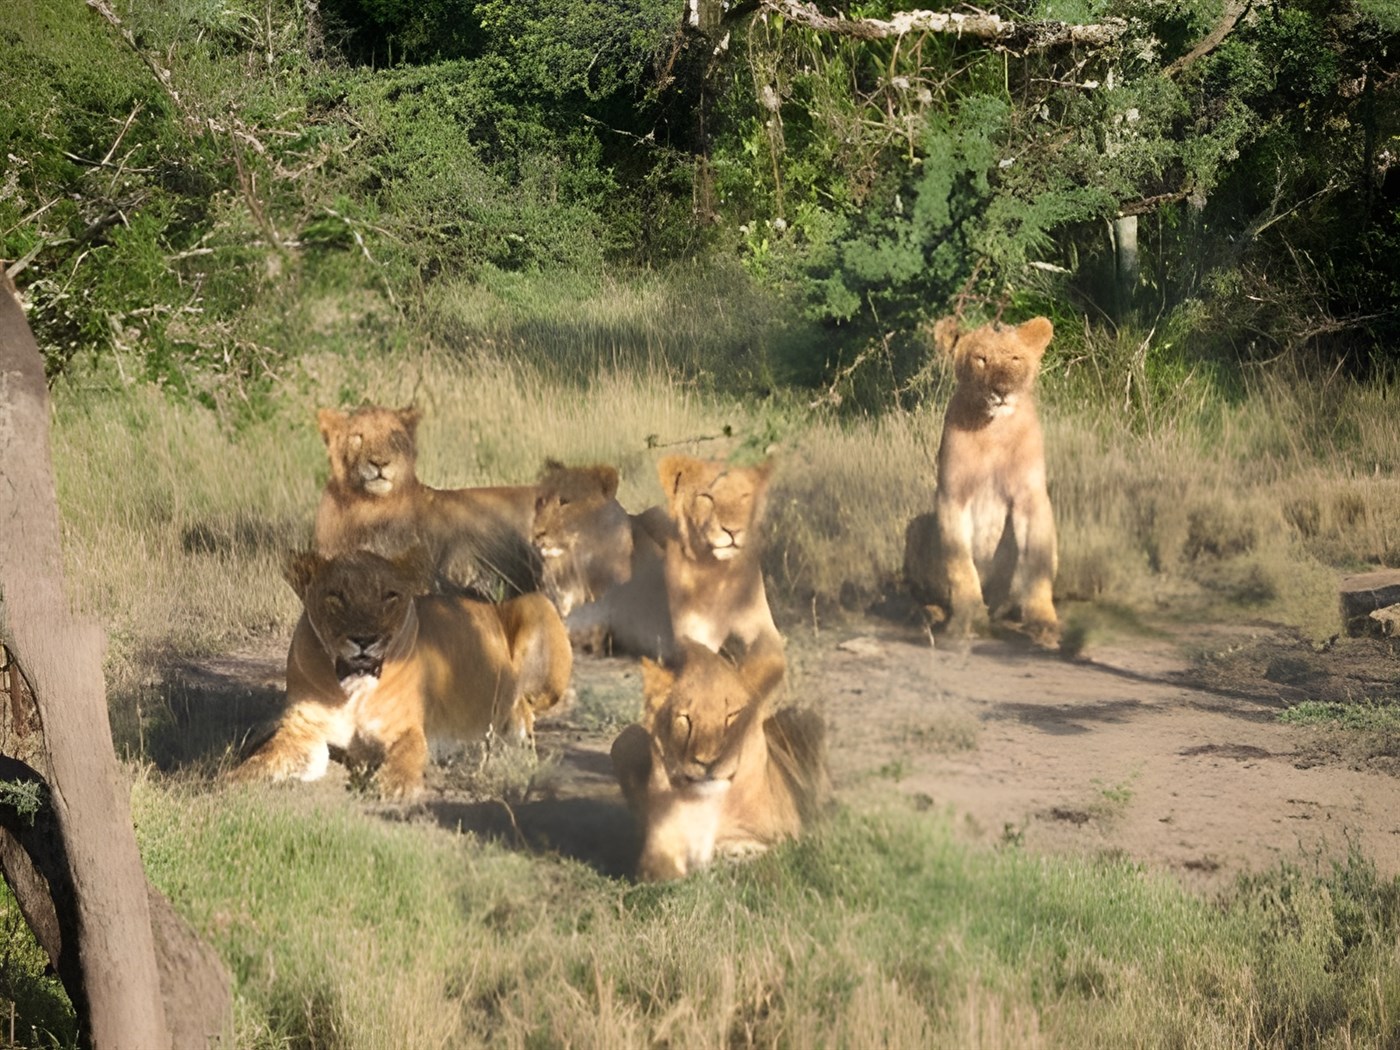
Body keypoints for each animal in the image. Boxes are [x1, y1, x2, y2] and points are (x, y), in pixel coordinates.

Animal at [229, 549, 572, 799]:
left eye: (389, 596)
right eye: (336, 596)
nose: (365, 639)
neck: (352, 689)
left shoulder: (405, 730)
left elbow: (405, 759)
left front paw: (393, 786)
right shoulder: (304, 732)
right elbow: (265, 758)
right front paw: (233, 778)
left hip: (535, 604)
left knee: (526, 708)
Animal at [610, 636, 826, 882]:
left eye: (731, 715)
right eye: (685, 719)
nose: (708, 761)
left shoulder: (783, 833)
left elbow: (767, 847)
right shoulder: (656, 845)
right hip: (625, 737)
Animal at [907, 315, 1059, 646]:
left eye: (1015, 358)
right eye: (981, 359)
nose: (1001, 390)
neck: (993, 431)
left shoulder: (1031, 498)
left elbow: (1037, 563)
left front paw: (1043, 623)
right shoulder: (951, 496)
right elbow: (960, 566)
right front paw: (969, 621)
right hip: (916, 526)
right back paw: (929, 616)